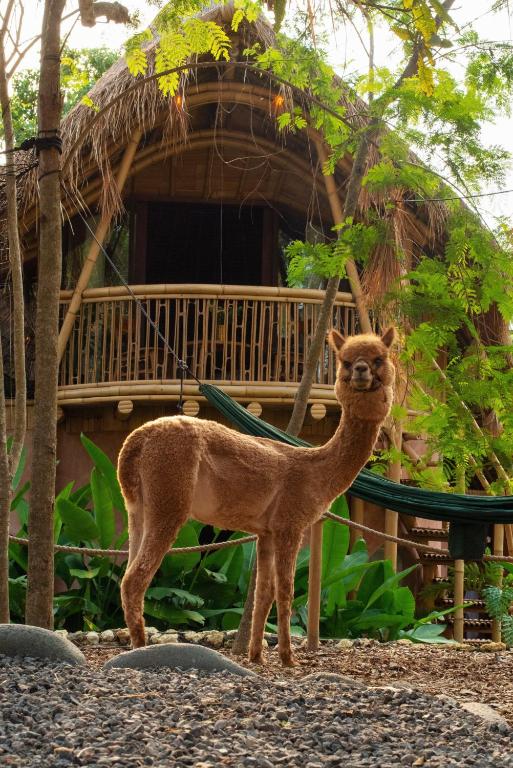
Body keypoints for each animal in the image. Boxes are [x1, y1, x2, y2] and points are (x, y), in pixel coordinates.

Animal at [118, 327, 396, 666]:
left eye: (379, 358)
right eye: (345, 361)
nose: (360, 370)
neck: (316, 470)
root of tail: (136, 440)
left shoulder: (266, 532)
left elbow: (263, 593)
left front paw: (257, 656)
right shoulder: (290, 524)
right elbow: (286, 590)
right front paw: (289, 659)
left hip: (137, 507)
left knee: (127, 572)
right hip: (169, 498)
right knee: (136, 578)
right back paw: (140, 648)